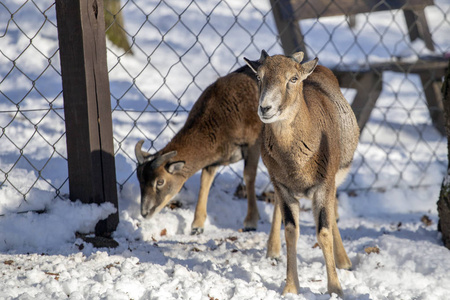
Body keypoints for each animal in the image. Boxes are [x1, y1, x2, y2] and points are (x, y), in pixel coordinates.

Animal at [134, 65, 260, 234]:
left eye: (160, 181)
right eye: (139, 179)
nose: (145, 213)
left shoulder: (253, 145)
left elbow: (249, 176)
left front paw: (251, 223)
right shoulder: (212, 162)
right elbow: (204, 182)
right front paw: (197, 227)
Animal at [244, 50, 360, 296]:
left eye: (294, 78)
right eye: (259, 76)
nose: (265, 108)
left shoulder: (324, 184)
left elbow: (323, 232)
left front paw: (336, 289)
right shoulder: (283, 186)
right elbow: (291, 231)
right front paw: (289, 288)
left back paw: (345, 262)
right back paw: (272, 251)